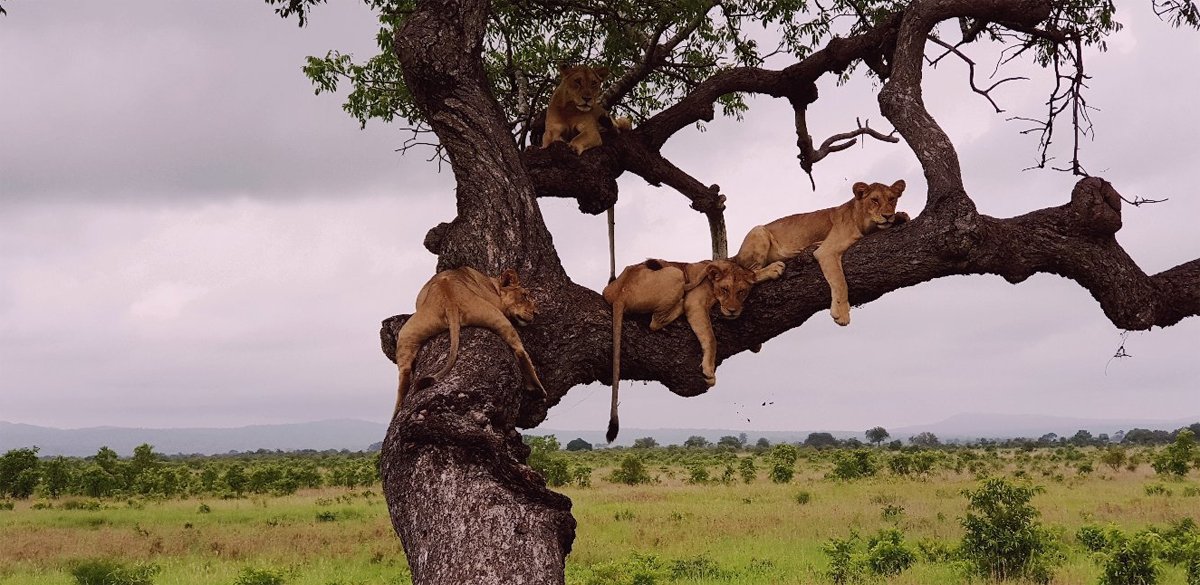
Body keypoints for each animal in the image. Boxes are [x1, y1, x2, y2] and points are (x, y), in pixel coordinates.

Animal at [393, 266, 545, 415]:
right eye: (525, 296)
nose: (536, 313)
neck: (493, 285)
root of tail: (449, 299)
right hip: (497, 314)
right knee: (520, 351)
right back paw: (540, 390)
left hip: (407, 332)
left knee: (404, 371)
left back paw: (398, 408)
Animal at [601, 258, 784, 442]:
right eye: (725, 289)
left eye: (741, 292)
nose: (732, 311)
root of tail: (618, 294)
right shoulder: (696, 303)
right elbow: (710, 338)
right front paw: (709, 371)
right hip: (675, 273)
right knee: (656, 321)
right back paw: (680, 304)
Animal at [732, 180, 908, 327]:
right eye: (875, 200)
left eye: (892, 199)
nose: (887, 216)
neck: (863, 222)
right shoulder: (826, 251)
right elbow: (840, 281)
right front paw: (841, 314)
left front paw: (901, 216)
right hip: (759, 230)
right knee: (748, 273)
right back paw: (774, 268)